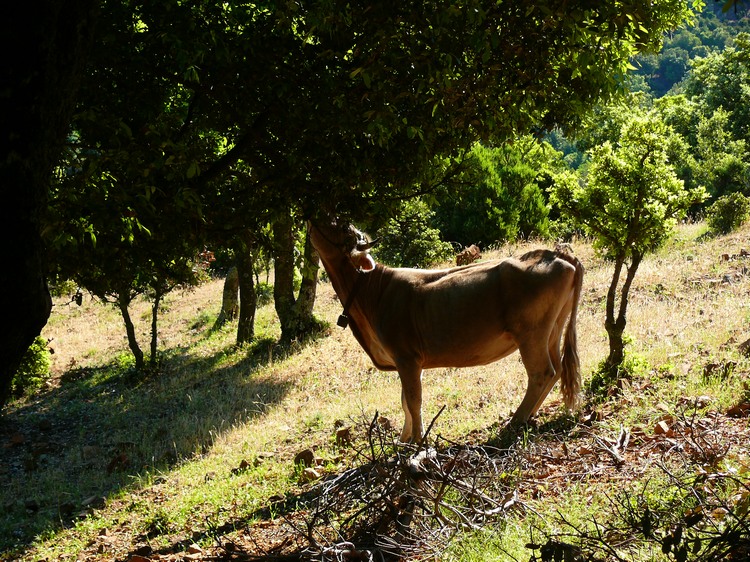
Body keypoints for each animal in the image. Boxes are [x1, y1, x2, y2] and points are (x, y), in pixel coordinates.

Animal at [308, 219, 584, 442]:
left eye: (341, 229)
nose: (315, 217)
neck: (372, 292)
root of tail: (555, 254)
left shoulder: (406, 357)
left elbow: (413, 400)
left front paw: (418, 441)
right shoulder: (406, 361)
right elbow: (404, 401)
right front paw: (404, 438)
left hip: (531, 334)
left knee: (542, 372)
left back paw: (516, 420)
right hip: (553, 328)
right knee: (558, 368)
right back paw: (530, 414)